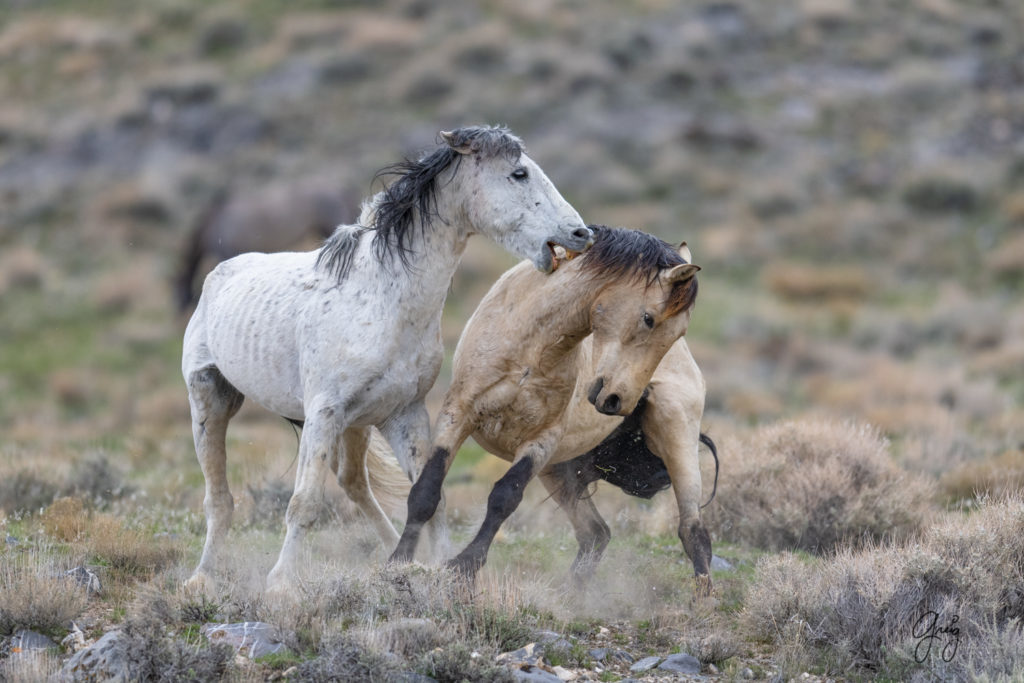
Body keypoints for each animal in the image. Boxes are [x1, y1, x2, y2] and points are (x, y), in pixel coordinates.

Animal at [387, 227, 716, 593]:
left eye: (677, 333)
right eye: (649, 319)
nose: (617, 401)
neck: (530, 347)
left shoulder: (541, 441)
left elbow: (505, 497)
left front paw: (463, 566)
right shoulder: (457, 415)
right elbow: (426, 491)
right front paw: (399, 561)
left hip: (676, 437)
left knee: (693, 531)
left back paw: (704, 597)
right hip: (562, 471)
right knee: (596, 533)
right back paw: (573, 593)